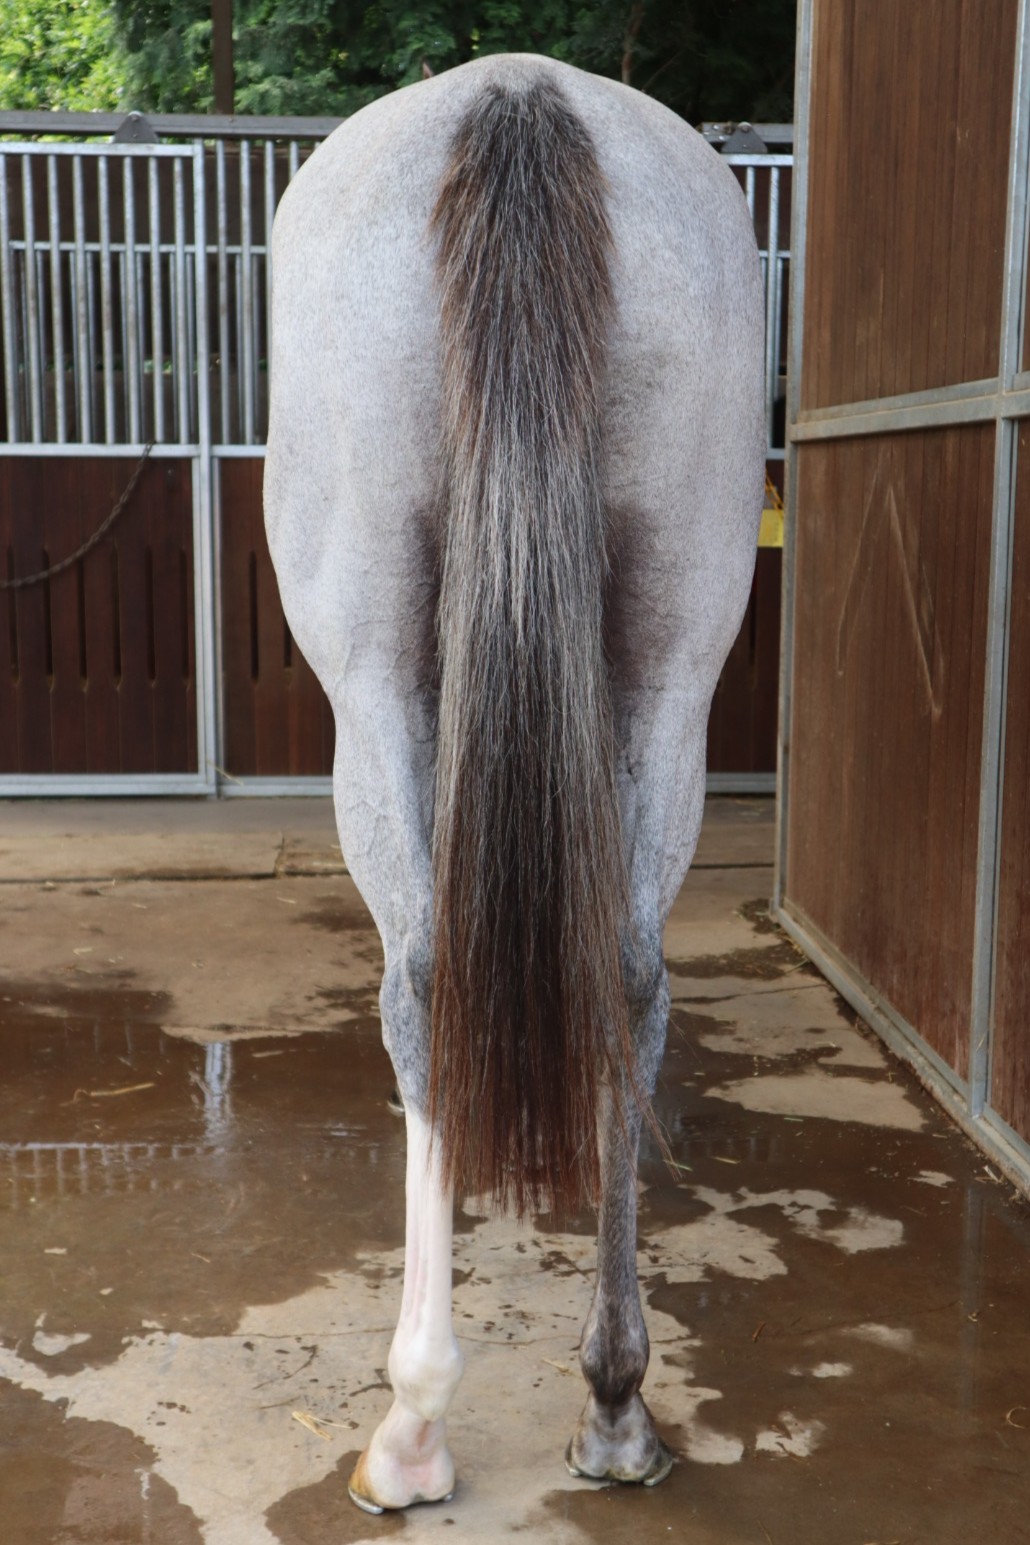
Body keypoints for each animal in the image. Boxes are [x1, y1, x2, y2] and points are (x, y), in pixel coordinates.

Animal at [264, 52, 764, 1513]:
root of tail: (521, 94)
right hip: (675, 662)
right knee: (632, 974)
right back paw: (614, 1402)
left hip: (370, 666)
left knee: (426, 977)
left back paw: (413, 1425)